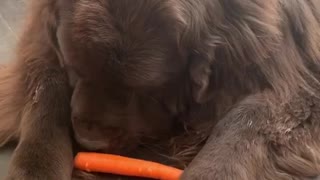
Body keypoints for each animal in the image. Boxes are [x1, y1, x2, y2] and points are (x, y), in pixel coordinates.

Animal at [0, 0, 320, 179]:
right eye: (75, 69)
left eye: (145, 91)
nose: (89, 141)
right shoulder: (41, 43)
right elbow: (46, 91)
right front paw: (35, 167)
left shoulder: (299, 81)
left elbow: (247, 121)